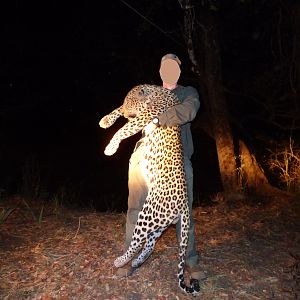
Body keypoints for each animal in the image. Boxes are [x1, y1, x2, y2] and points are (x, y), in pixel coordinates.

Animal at [99, 83, 200, 294]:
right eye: (127, 102)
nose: (128, 113)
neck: (156, 92)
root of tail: (184, 205)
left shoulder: (145, 117)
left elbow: (123, 130)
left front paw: (110, 147)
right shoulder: (138, 115)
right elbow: (117, 111)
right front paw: (106, 120)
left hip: (148, 215)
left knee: (137, 241)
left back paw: (121, 261)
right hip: (158, 223)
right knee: (149, 245)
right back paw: (136, 262)